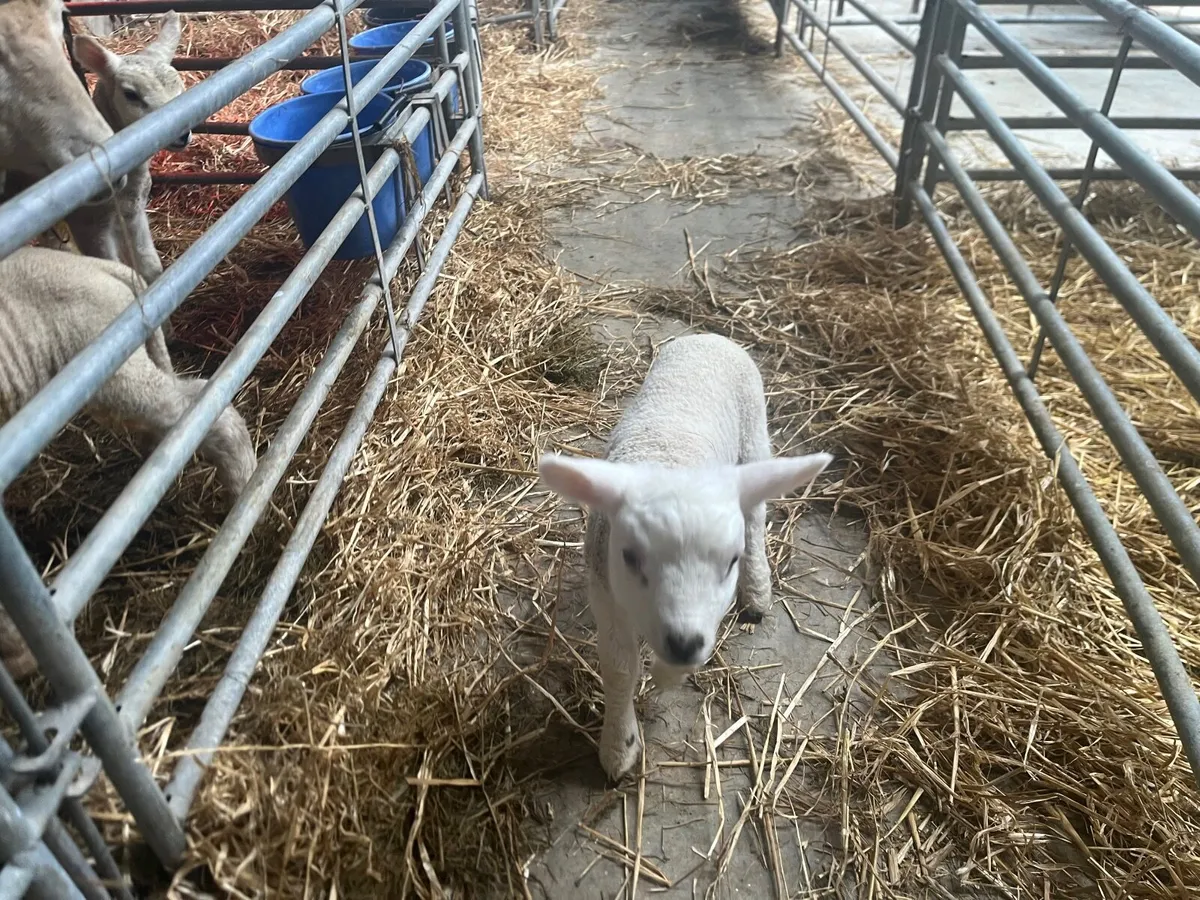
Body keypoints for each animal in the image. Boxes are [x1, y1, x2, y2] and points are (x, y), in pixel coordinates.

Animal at [539, 333, 832, 780]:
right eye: (630, 556)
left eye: (729, 562)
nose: (682, 642)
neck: (669, 461)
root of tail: (711, 336)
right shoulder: (605, 589)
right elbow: (620, 668)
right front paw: (619, 746)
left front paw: (665, 676)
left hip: (753, 438)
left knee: (754, 516)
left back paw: (757, 592)